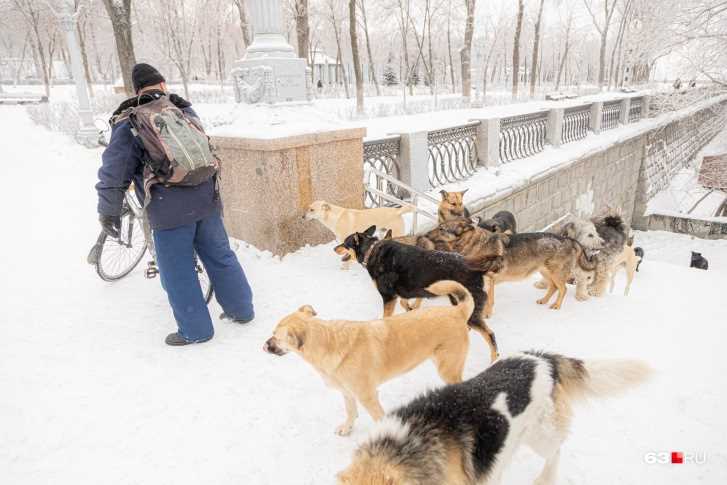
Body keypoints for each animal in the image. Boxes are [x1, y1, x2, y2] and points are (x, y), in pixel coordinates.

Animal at [264, 280, 474, 434]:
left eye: (276, 336)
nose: (263, 346)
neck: (329, 341)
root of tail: (457, 311)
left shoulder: (368, 397)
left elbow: (379, 420)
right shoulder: (348, 393)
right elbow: (351, 413)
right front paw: (347, 429)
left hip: (447, 369)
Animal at [336, 226, 500, 360]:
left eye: (344, 243)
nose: (334, 248)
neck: (371, 250)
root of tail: (478, 269)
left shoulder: (389, 296)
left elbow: (387, 316)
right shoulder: (404, 292)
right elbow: (405, 303)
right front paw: (411, 310)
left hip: (470, 308)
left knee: (490, 334)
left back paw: (494, 359)